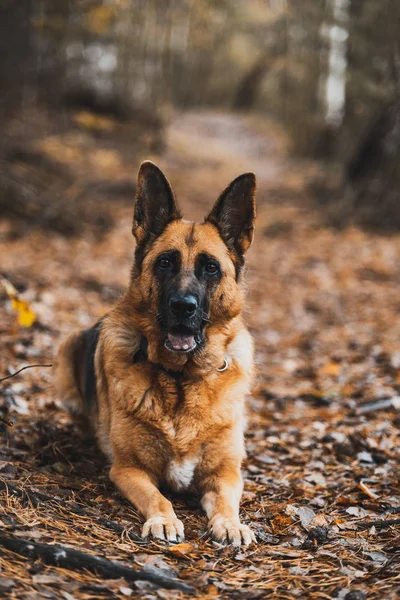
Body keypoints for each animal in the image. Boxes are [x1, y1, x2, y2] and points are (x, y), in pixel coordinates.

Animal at [55, 162, 256, 548]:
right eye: (165, 263)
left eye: (211, 267)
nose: (182, 307)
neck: (180, 378)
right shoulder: (129, 469)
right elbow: (158, 496)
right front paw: (164, 520)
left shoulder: (226, 473)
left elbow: (227, 501)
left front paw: (231, 524)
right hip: (67, 348)